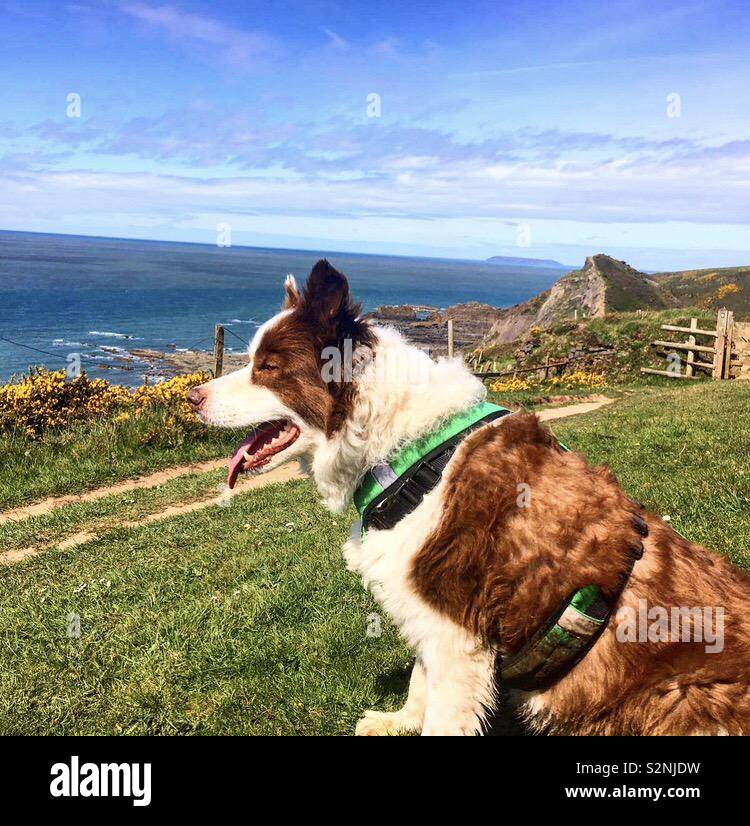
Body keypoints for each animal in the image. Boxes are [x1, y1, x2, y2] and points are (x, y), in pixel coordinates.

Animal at [189, 260, 750, 732]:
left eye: (269, 366)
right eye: (251, 358)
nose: (192, 396)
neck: (407, 449)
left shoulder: (457, 637)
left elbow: (442, 710)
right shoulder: (427, 608)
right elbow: (419, 678)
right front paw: (400, 721)